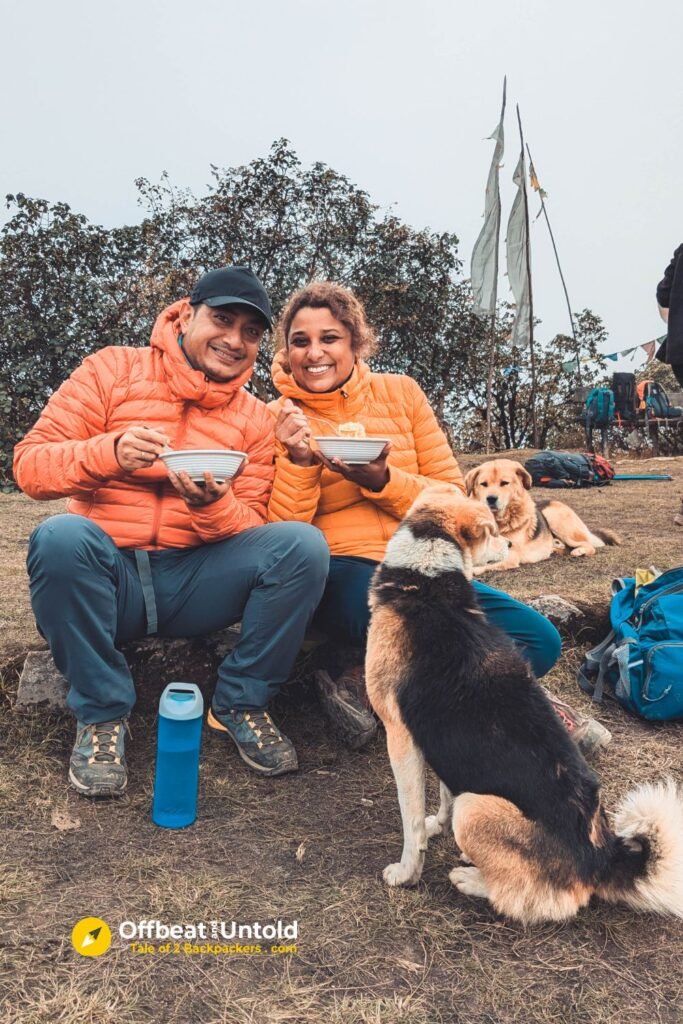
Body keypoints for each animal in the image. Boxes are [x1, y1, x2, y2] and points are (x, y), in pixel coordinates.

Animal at [366, 483, 683, 925]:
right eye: (492, 529)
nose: (512, 544)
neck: (428, 581)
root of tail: (602, 858)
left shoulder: (401, 737)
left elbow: (410, 820)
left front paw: (406, 872)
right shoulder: (443, 734)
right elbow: (443, 795)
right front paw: (438, 827)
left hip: (475, 807)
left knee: (531, 899)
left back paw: (472, 878)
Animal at [464, 460, 618, 573]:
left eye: (504, 483)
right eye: (483, 484)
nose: (491, 499)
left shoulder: (510, 555)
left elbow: (480, 565)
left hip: (555, 517)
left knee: (589, 546)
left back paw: (578, 551)